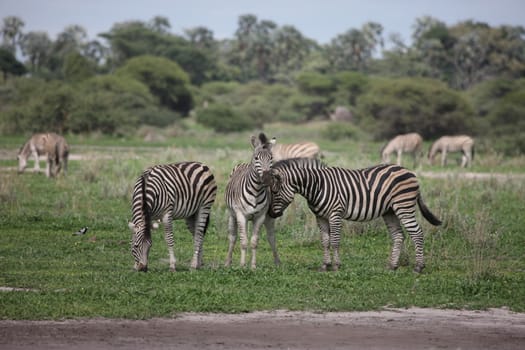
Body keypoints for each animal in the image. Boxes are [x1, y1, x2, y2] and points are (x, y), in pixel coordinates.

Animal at [222, 133, 278, 270]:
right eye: (257, 158)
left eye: (271, 158)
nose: (267, 179)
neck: (256, 191)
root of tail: (244, 164)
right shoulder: (241, 215)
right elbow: (243, 241)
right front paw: (242, 265)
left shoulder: (260, 217)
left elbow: (253, 242)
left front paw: (252, 266)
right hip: (232, 215)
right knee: (233, 237)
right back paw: (228, 262)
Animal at [266, 159, 442, 274]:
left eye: (275, 192)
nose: (271, 214)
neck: (317, 185)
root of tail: (409, 171)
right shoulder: (320, 217)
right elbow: (325, 241)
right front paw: (325, 265)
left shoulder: (335, 214)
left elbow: (335, 241)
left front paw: (336, 266)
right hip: (390, 211)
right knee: (398, 236)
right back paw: (392, 266)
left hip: (403, 206)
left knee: (417, 233)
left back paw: (418, 267)